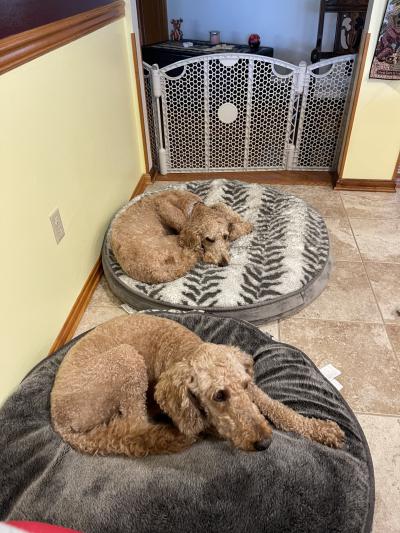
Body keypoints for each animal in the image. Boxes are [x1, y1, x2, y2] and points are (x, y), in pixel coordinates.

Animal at [51, 314, 346, 456]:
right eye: (219, 396)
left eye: (244, 385)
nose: (264, 443)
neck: (187, 350)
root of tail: (59, 420)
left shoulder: (253, 392)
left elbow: (278, 408)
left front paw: (320, 429)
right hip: (126, 361)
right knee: (135, 428)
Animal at [109, 189, 253, 284]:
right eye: (209, 239)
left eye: (225, 237)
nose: (223, 263)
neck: (193, 208)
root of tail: (158, 274)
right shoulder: (180, 225)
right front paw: (241, 227)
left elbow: (220, 205)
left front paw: (242, 223)